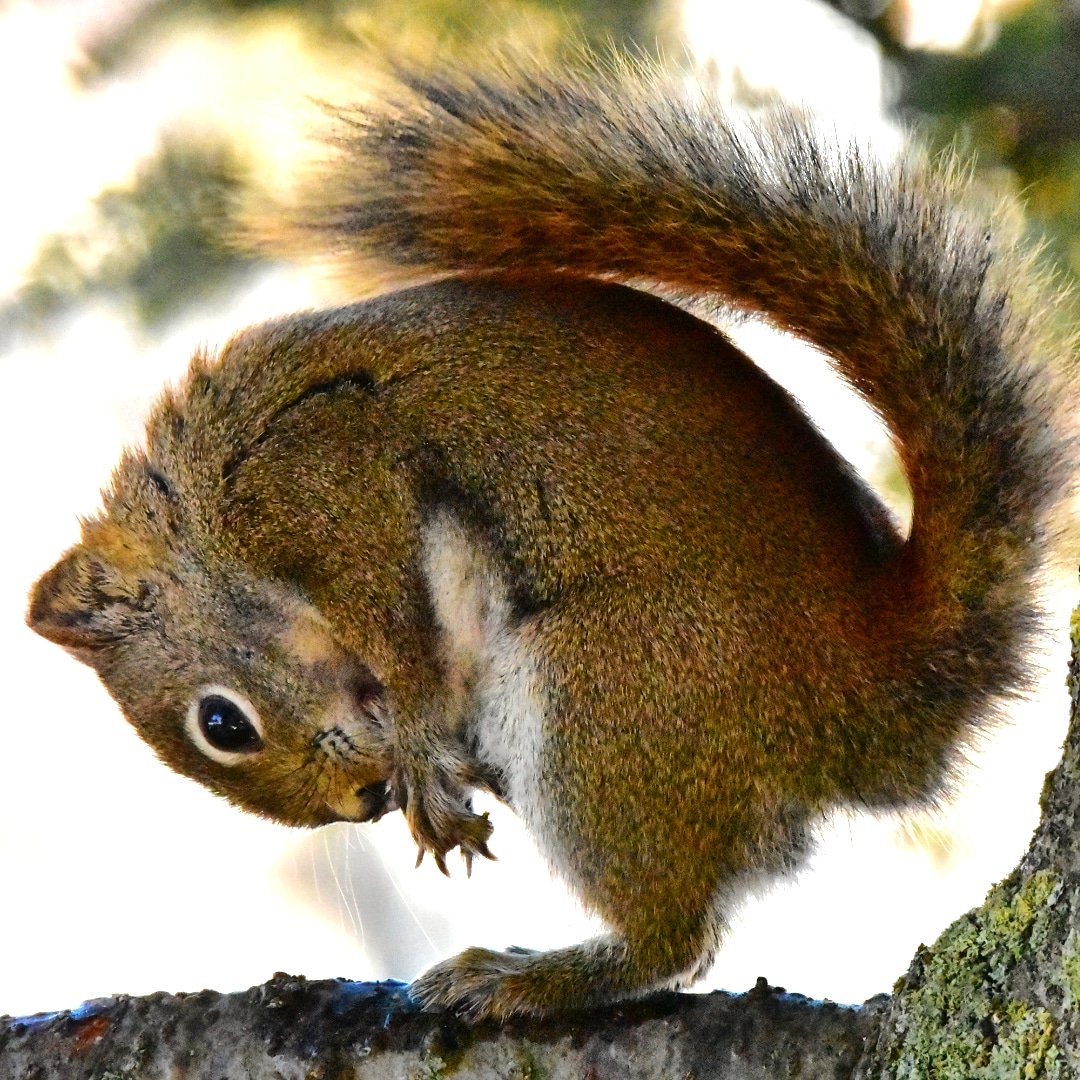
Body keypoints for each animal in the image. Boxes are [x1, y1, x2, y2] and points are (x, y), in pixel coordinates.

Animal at [27, 59, 1077, 1021]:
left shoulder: (328, 479)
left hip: (607, 695)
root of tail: (872, 693)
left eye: (221, 725)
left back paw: (530, 977)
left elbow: (402, 636)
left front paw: (416, 749)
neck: (210, 523)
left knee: (676, 939)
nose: (360, 802)